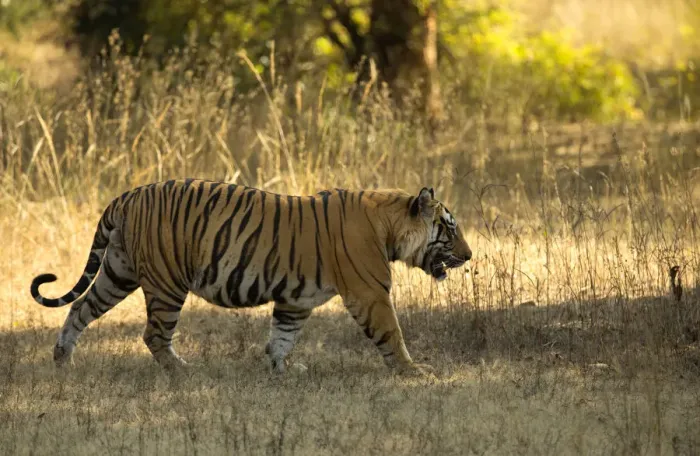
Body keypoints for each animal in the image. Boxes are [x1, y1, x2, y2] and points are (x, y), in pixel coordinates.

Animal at [30, 179, 472, 374]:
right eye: (450, 230)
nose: (469, 256)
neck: (390, 225)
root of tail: (127, 195)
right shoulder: (370, 293)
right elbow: (392, 334)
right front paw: (413, 372)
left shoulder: (296, 299)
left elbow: (282, 335)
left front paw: (281, 368)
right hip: (166, 283)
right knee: (154, 334)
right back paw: (182, 370)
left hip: (117, 273)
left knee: (79, 310)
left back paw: (62, 359)